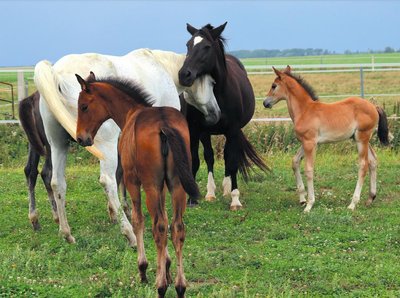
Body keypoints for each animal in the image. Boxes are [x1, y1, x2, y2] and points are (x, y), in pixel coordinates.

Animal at [34, 48, 220, 244]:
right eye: (211, 83)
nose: (215, 114)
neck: (161, 67)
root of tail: (56, 72)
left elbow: (122, 174)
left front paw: (119, 210)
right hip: (103, 147)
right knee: (106, 181)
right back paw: (129, 233)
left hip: (58, 145)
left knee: (57, 183)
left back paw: (67, 233)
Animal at [75, 73, 198, 298]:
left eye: (84, 106)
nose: (81, 138)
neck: (131, 113)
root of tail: (164, 126)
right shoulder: (163, 186)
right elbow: (164, 218)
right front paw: (166, 266)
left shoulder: (133, 181)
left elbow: (137, 219)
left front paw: (143, 268)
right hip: (177, 186)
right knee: (177, 227)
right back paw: (179, 286)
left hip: (149, 186)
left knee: (158, 228)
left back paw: (160, 286)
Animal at [179, 22, 268, 210]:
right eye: (188, 45)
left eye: (206, 47)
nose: (184, 74)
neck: (218, 93)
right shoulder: (195, 130)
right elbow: (196, 160)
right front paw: (192, 199)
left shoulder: (233, 130)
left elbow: (232, 161)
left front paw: (235, 200)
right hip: (205, 134)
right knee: (210, 157)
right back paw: (211, 193)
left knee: (227, 156)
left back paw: (227, 190)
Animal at [264, 66, 390, 213]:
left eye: (274, 86)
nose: (265, 103)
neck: (305, 110)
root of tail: (374, 106)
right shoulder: (307, 142)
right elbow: (295, 162)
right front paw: (302, 199)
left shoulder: (310, 143)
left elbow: (309, 169)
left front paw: (309, 204)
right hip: (361, 139)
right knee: (373, 161)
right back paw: (370, 197)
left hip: (362, 138)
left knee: (363, 165)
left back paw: (353, 203)